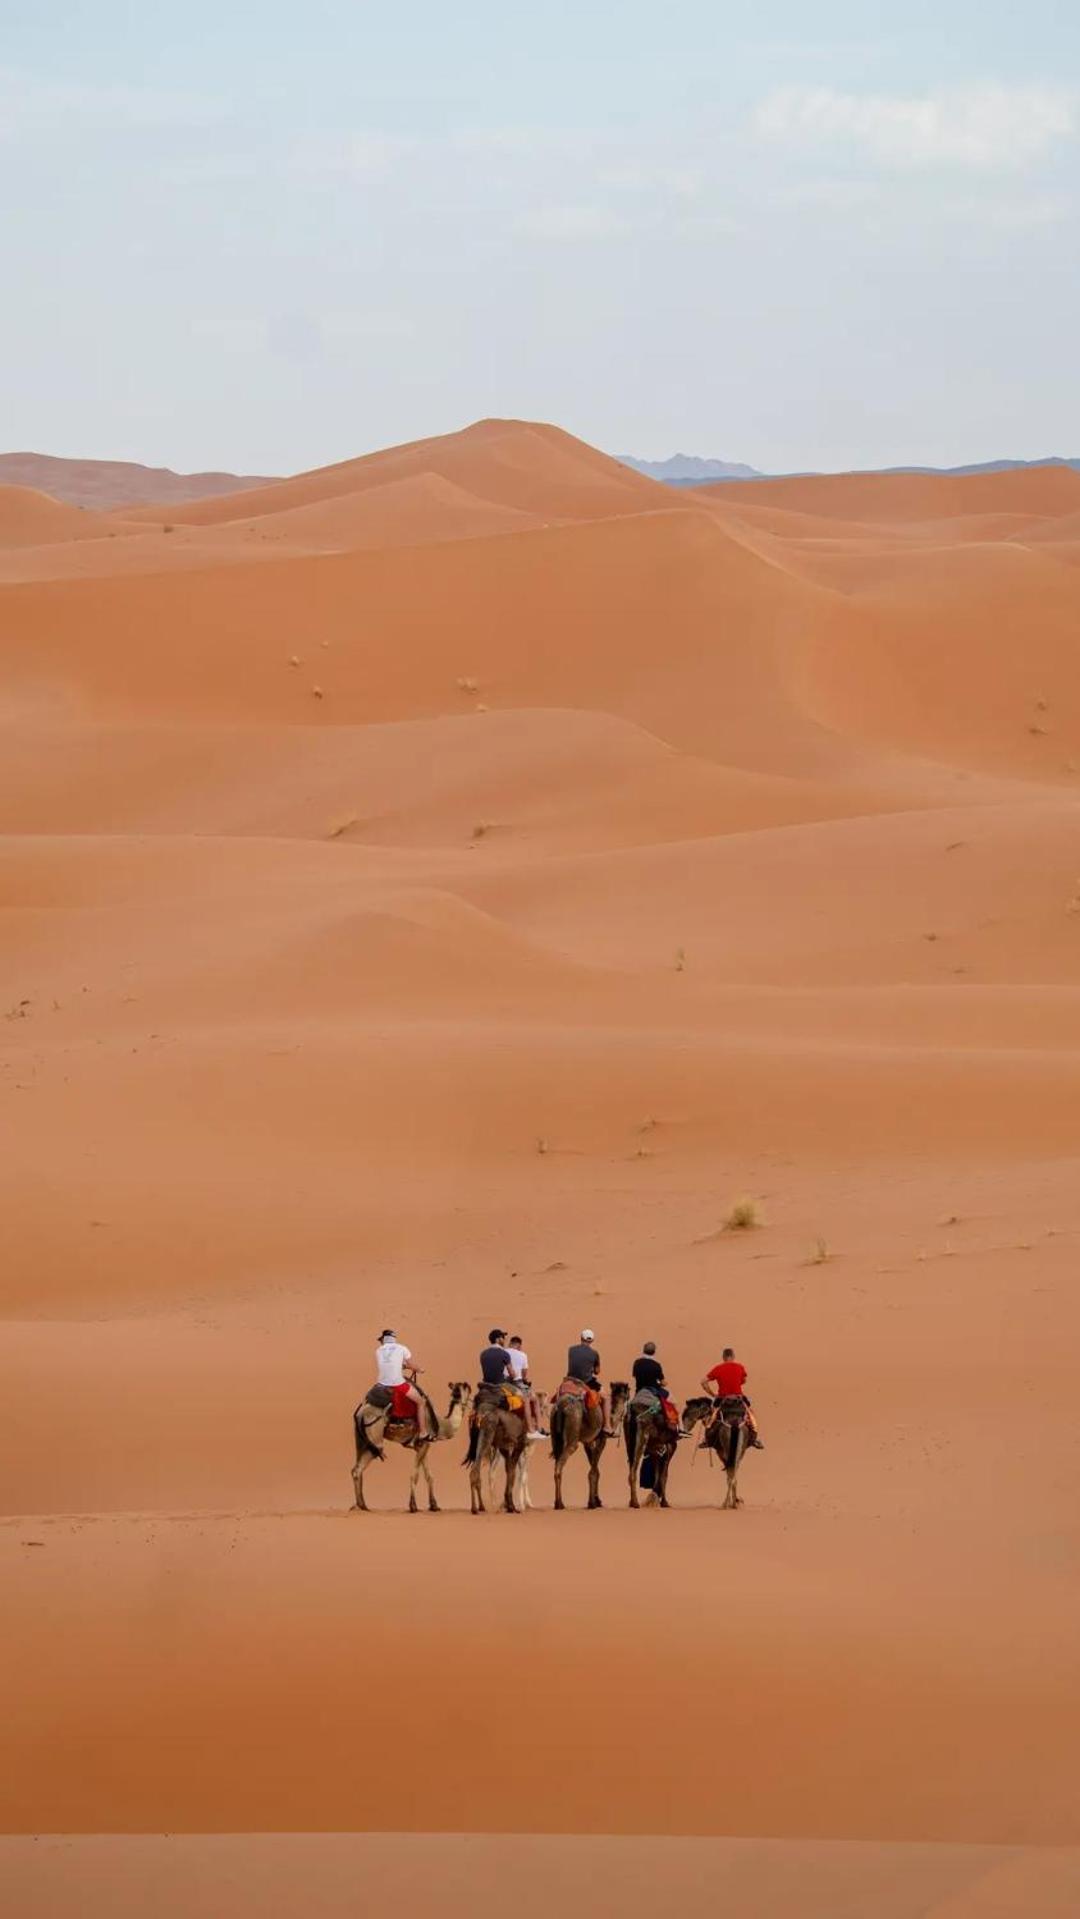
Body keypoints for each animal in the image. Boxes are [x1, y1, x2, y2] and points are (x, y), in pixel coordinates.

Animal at [354, 1381, 473, 1512]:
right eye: (465, 1387)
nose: (468, 1384)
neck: (441, 1425)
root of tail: (361, 1412)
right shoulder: (423, 1443)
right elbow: (415, 1476)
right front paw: (413, 1506)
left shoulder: (422, 1446)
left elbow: (429, 1476)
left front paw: (434, 1505)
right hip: (375, 1436)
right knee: (359, 1468)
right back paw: (362, 1506)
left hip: (362, 1440)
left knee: (356, 1469)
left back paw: (361, 1506)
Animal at [552, 1381, 629, 1512]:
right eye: (627, 1395)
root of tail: (561, 1406)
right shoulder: (601, 1438)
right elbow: (593, 1472)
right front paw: (592, 1503)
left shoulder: (588, 1442)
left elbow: (596, 1469)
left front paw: (597, 1501)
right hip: (574, 1425)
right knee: (562, 1461)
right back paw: (560, 1504)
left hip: (556, 1437)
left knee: (557, 1462)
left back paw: (558, 1503)